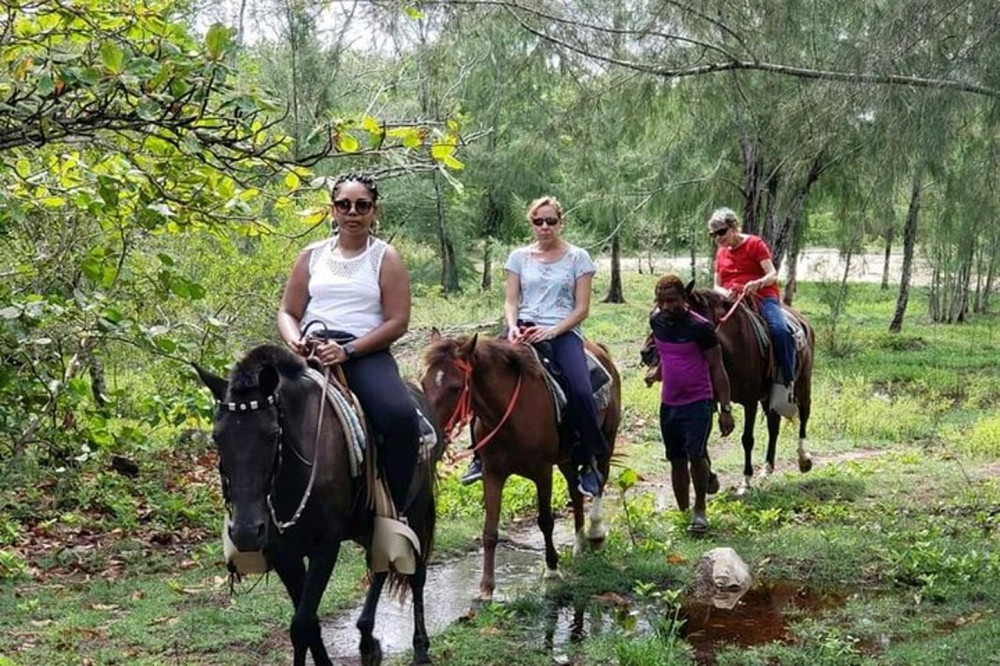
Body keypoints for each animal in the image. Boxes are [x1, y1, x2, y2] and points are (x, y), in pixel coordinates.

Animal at [197, 342, 444, 664]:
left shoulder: (326, 546)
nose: (246, 533)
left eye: (272, 434)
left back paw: (419, 649)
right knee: (379, 562)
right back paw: (367, 640)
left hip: (413, 511)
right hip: (368, 523)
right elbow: (309, 622)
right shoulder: (283, 553)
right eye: (217, 436)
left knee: (416, 574)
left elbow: (301, 624)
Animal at [418, 330, 620, 600]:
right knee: (575, 492)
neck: (508, 416)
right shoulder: (492, 472)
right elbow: (489, 531)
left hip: (607, 440)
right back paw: (579, 544)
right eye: (423, 383)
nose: (427, 433)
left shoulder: (542, 472)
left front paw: (552, 572)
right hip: (566, 458)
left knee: (599, 480)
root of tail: (599, 349)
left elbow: (545, 521)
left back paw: (595, 534)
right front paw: (486, 589)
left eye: (455, 387)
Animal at [684, 286, 816, 492]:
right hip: (769, 395)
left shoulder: (750, 401)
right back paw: (766, 469)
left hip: (802, 383)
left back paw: (804, 459)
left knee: (804, 414)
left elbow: (747, 439)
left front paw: (745, 481)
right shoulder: (711, 400)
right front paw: (711, 480)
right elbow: (702, 438)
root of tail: (803, 322)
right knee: (774, 426)